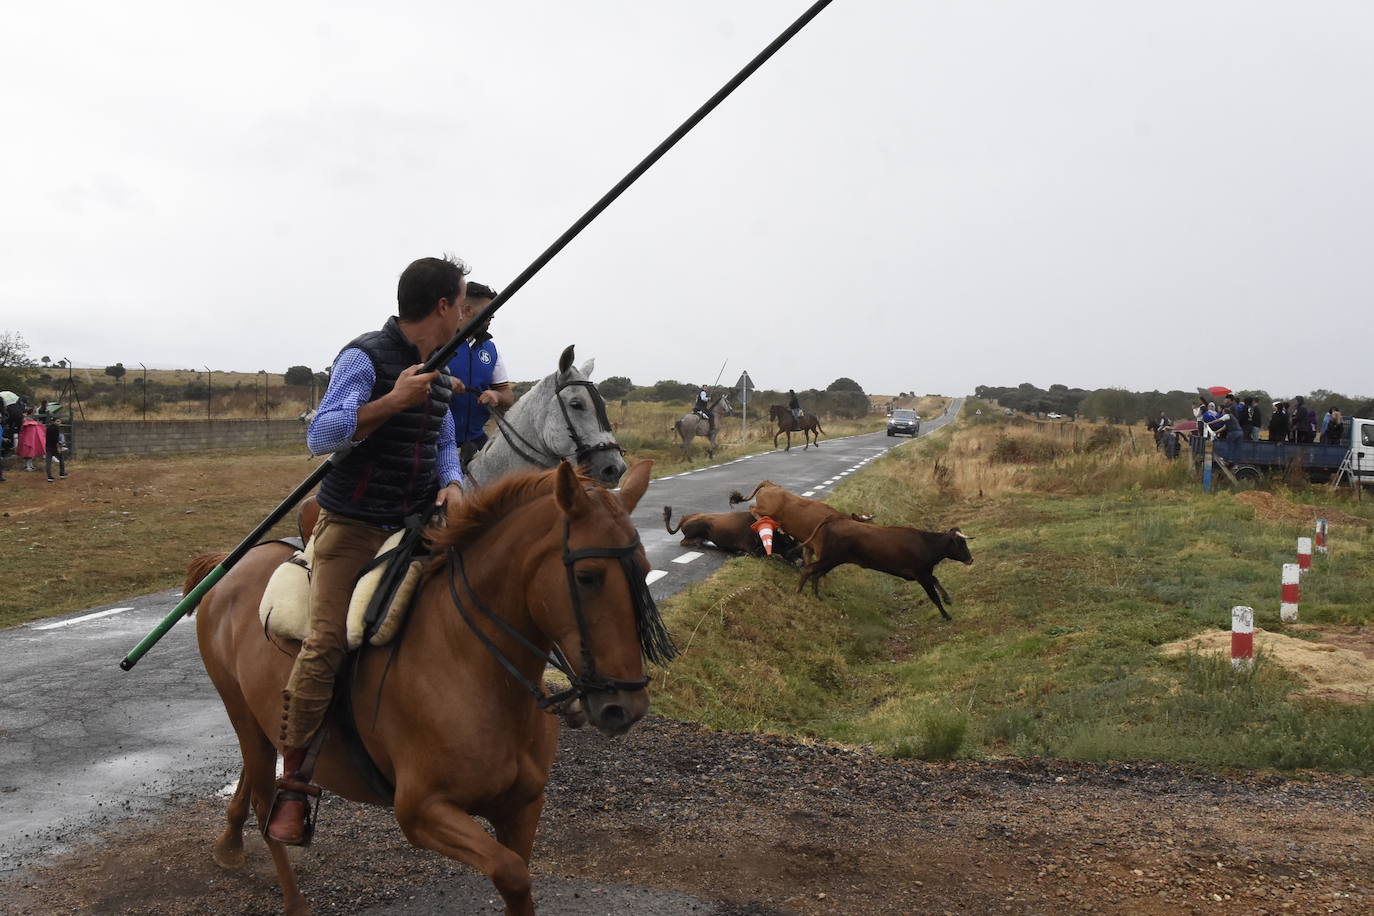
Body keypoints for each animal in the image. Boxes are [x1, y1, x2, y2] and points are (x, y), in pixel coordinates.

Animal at [192, 461, 670, 911]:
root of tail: (235, 567)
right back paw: (293, 895)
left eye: (644, 570)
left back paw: (229, 844)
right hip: (240, 712)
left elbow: (519, 883)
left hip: (259, 720)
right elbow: (512, 873)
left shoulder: (522, 808)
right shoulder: (422, 812)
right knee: (263, 800)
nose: (625, 706)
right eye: (588, 576)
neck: (473, 668)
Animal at [659, 505, 802, 563]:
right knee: (684, 541)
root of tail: (685, 518)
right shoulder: (749, 547)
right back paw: (698, 542)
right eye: (794, 549)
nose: (801, 562)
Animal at [796, 519, 978, 620]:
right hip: (830, 558)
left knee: (816, 574)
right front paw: (946, 615)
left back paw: (816, 596)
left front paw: (948, 598)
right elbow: (934, 597)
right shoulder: (920, 574)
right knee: (808, 569)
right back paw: (798, 593)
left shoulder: (926, 573)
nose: (971, 559)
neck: (926, 544)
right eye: (961, 543)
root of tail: (833, 522)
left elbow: (936, 580)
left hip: (832, 560)